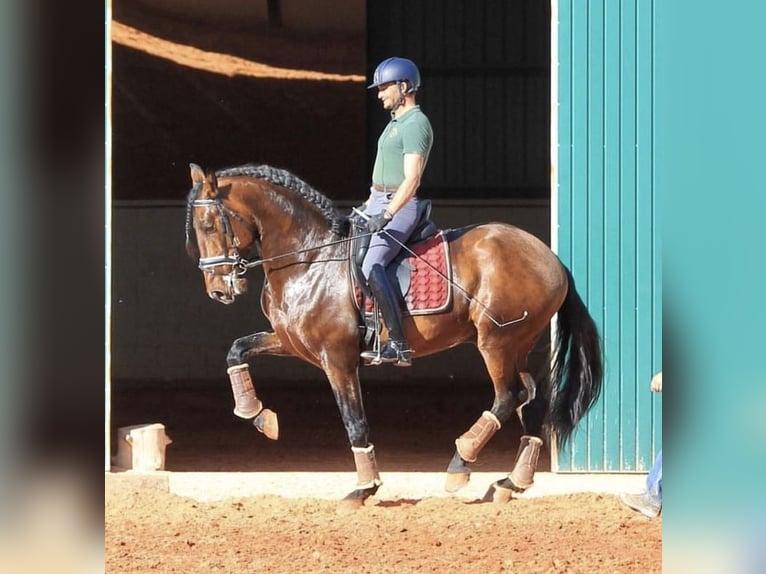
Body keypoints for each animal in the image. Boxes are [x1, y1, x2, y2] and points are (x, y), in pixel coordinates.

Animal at [186, 162, 608, 508]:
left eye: (208, 225)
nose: (219, 290)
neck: (309, 258)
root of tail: (550, 259)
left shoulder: (337, 359)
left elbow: (354, 420)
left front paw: (364, 488)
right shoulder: (294, 344)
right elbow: (237, 350)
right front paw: (257, 416)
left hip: (496, 343)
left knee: (510, 396)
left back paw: (461, 463)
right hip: (517, 346)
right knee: (532, 401)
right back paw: (510, 483)